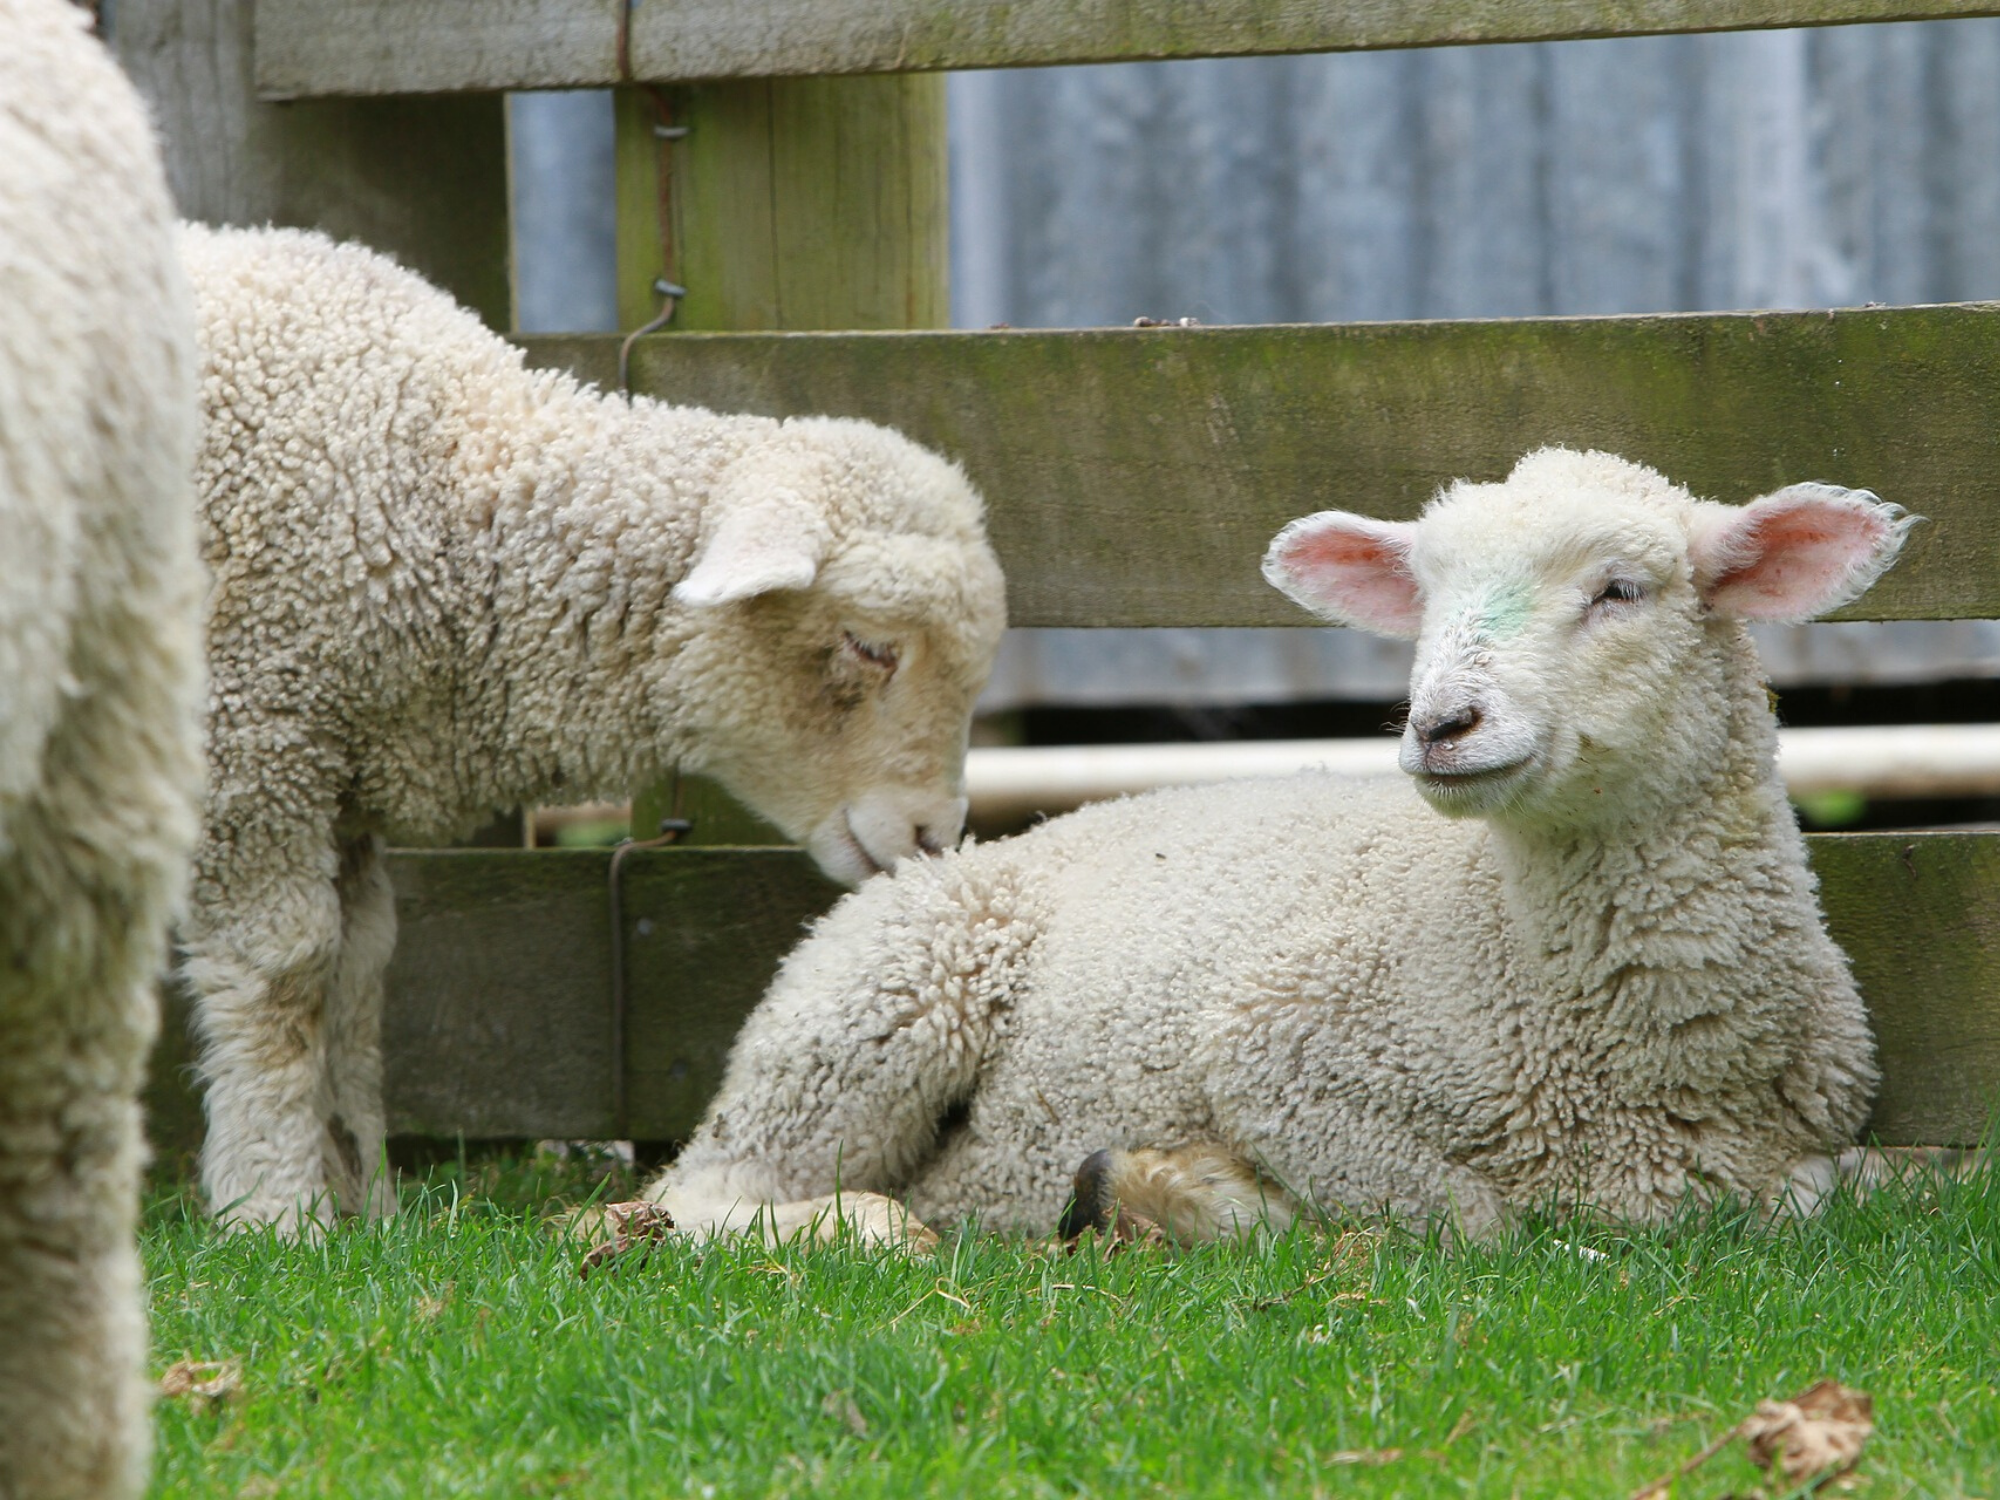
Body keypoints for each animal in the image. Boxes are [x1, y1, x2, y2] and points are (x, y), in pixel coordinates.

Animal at [179, 225, 1007, 1234]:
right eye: (870, 646)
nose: (935, 835)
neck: (449, 495)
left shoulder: (339, 773)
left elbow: (359, 974)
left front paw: (366, 1202)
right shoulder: (253, 736)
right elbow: (287, 972)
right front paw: (274, 1205)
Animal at [639, 447, 1903, 1247]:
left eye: (1620, 590)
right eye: (1422, 599)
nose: (1439, 725)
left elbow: (1838, 1191)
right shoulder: (1277, 1051)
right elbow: (1478, 1222)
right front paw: (1190, 1195)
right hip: (871, 1005)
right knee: (695, 1196)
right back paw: (867, 1226)